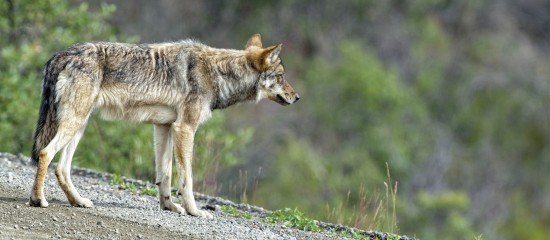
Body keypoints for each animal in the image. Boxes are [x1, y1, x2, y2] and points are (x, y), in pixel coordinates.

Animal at [28, 33, 300, 218]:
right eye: (281, 76)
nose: (297, 97)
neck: (218, 73)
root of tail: (61, 54)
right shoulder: (185, 128)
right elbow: (187, 179)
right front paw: (195, 211)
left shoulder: (164, 127)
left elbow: (165, 175)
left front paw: (169, 206)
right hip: (74, 123)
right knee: (46, 154)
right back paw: (38, 199)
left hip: (79, 125)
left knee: (62, 168)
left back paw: (78, 201)